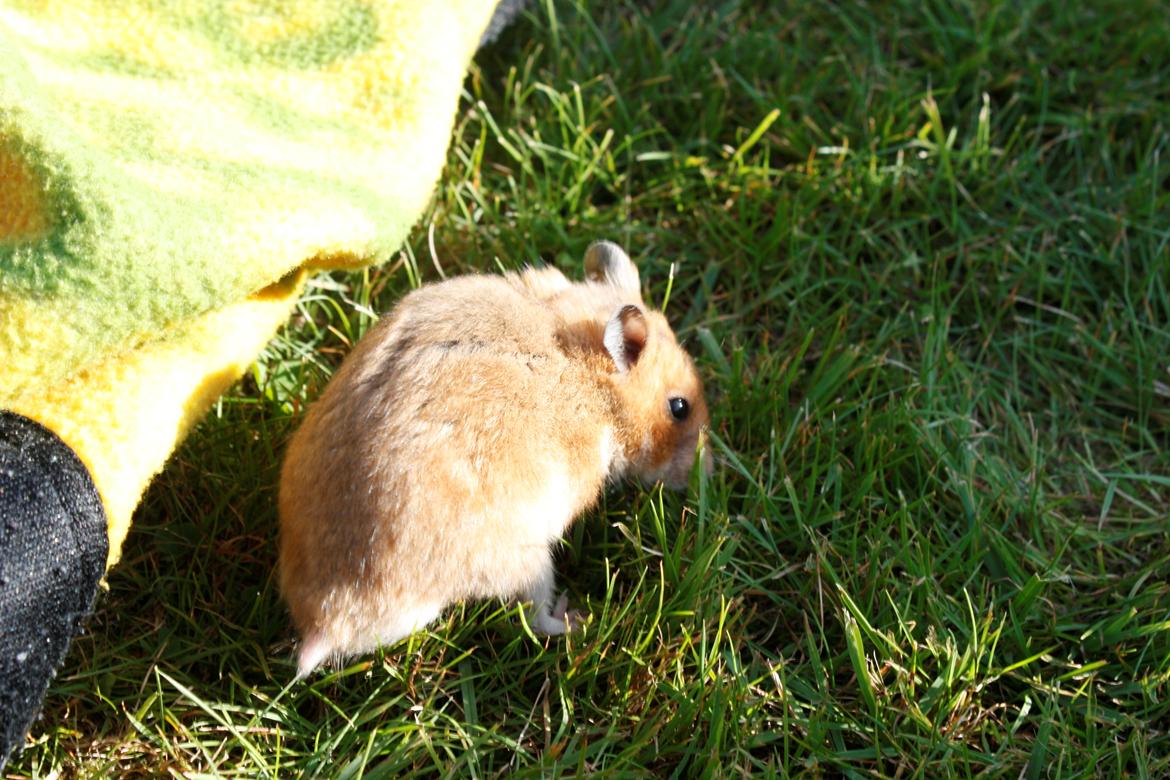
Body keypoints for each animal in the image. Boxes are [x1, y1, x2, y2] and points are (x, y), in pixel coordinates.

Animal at [278, 239, 706, 678]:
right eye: (679, 407)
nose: (702, 475)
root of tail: (326, 624)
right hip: (530, 562)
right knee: (534, 620)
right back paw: (578, 618)